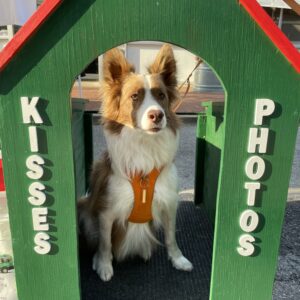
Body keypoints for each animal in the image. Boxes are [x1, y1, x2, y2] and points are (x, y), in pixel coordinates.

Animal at [78, 44, 193, 282]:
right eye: (134, 96)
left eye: (161, 95)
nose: (157, 115)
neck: (144, 145)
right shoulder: (107, 211)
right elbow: (105, 244)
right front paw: (103, 265)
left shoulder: (169, 203)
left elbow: (171, 237)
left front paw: (178, 259)